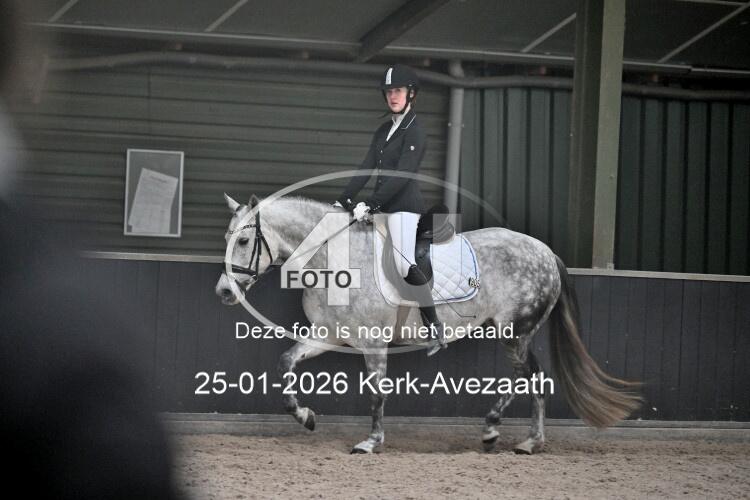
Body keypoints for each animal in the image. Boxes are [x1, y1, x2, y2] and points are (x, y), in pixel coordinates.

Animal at [215, 193, 641, 454]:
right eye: (226, 237)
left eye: (243, 242)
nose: (223, 292)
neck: (332, 258)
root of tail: (546, 252)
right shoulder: (329, 334)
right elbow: (285, 362)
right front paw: (304, 417)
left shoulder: (373, 343)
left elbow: (377, 393)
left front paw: (371, 442)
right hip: (511, 333)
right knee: (528, 378)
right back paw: (507, 434)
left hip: (515, 332)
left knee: (532, 378)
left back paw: (514, 437)